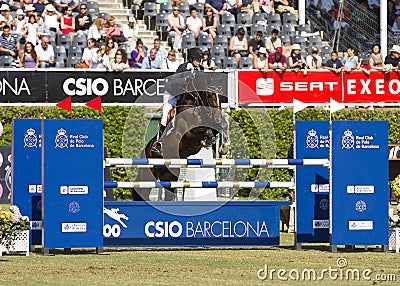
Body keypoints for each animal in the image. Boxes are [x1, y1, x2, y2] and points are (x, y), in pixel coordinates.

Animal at [132, 71, 230, 201]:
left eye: (222, 96)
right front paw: (207, 141)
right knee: (143, 192)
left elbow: (222, 125)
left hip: (169, 175)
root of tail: (145, 151)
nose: (217, 117)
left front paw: (224, 147)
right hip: (149, 174)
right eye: (209, 94)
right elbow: (205, 131)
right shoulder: (188, 134)